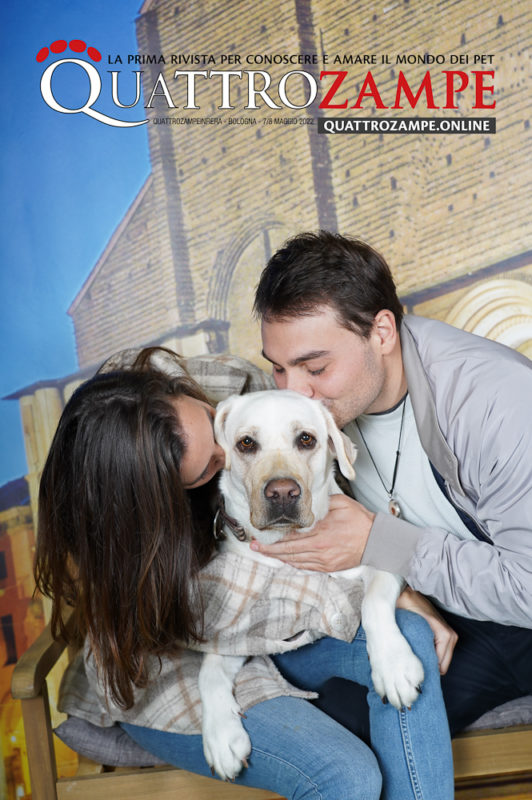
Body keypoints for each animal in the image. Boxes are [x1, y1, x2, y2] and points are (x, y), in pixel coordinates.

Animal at [200, 390, 424, 780]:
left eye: (306, 439)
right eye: (246, 443)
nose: (282, 492)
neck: (286, 547)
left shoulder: (380, 562)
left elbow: (372, 602)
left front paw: (393, 667)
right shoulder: (240, 629)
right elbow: (208, 672)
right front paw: (221, 737)